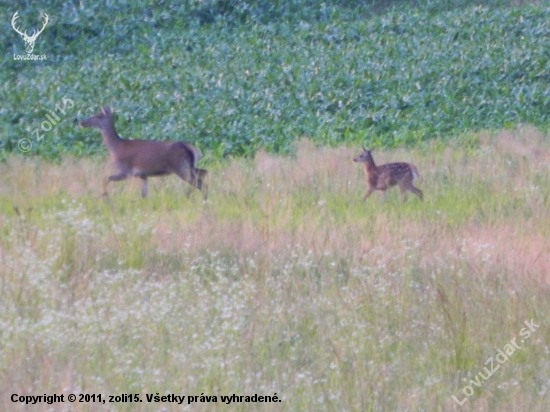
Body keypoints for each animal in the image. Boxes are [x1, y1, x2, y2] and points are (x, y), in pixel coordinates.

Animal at [78, 107, 206, 199]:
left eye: (98, 115)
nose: (81, 122)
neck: (115, 148)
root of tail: (191, 148)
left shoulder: (127, 171)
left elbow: (106, 178)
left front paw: (104, 195)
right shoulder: (143, 175)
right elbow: (144, 194)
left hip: (181, 167)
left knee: (200, 183)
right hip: (189, 166)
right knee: (204, 173)